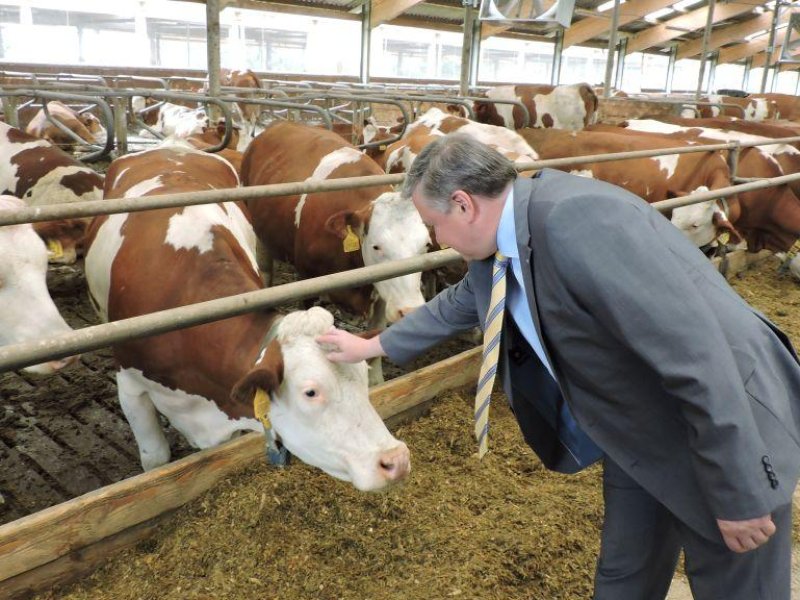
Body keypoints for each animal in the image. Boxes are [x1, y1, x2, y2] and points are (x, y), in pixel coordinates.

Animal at [84, 143, 410, 490]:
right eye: (310, 392)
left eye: (362, 375)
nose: (396, 459)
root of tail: (171, 147)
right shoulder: (130, 387)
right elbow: (155, 459)